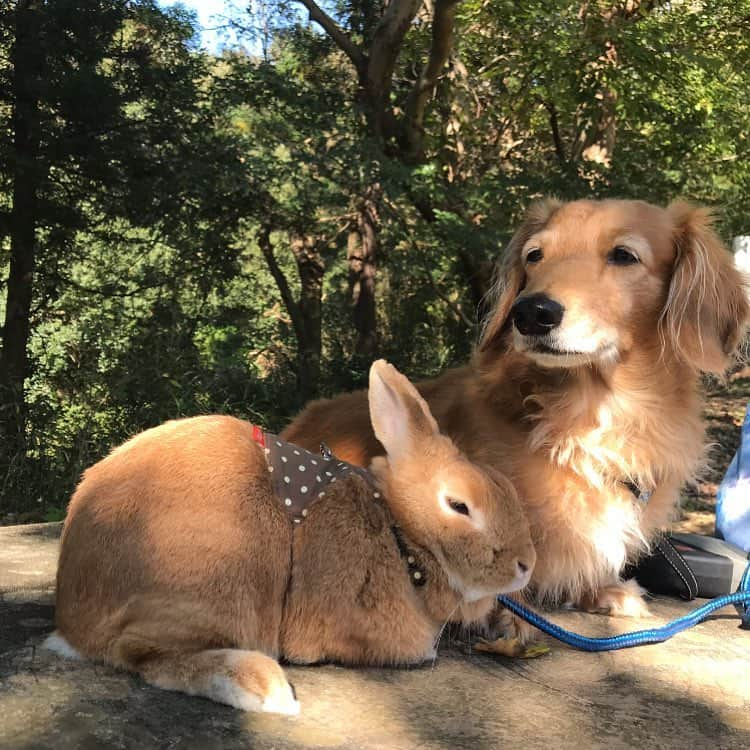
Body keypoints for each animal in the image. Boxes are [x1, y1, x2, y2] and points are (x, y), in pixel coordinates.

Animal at [45, 362, 536, 716]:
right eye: (458, 506)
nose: (525, 564)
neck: (398, 531)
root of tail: (75, 617)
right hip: (222, 586)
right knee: (138, 652)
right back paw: (264, 689)